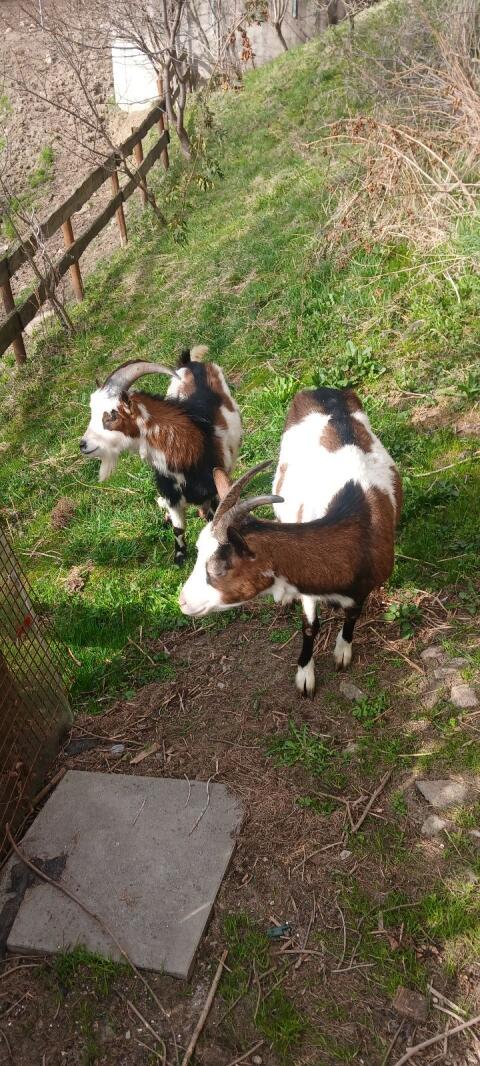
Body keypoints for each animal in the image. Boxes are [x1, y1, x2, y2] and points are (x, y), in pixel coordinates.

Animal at [80, 346, 242, 565]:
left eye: (111, 415)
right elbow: (178, 528)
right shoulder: (172, 497)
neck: (189, 450)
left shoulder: (214, 490)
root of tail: (190, 362)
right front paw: (179, 557)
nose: (83, 445)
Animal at [179, 386, 402, 694]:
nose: (182, 601)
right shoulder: (307, 585)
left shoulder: (364, 587)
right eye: (198, 551)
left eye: (218, 569)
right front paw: (305, 675)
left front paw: (342, 651)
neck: (359, 529)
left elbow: (353, 614)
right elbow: (310, 626)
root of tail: (322, 389)